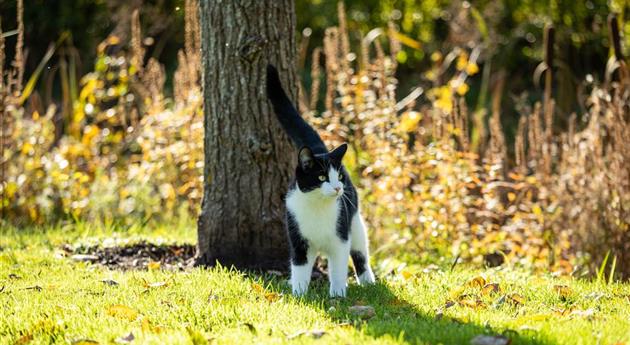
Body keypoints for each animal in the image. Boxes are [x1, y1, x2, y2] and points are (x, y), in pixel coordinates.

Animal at [266, 64, 376, 296]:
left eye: (339, 176)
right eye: (322, 176)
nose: (337, 188)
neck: (317, 206)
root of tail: (320, 150)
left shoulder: (340, 238)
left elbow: (338, 268)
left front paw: (337, 294)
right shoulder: (298, 240)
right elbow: (299, 268)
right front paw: (299, 294)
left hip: (355, 222)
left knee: (360, 253)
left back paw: (368, 282)